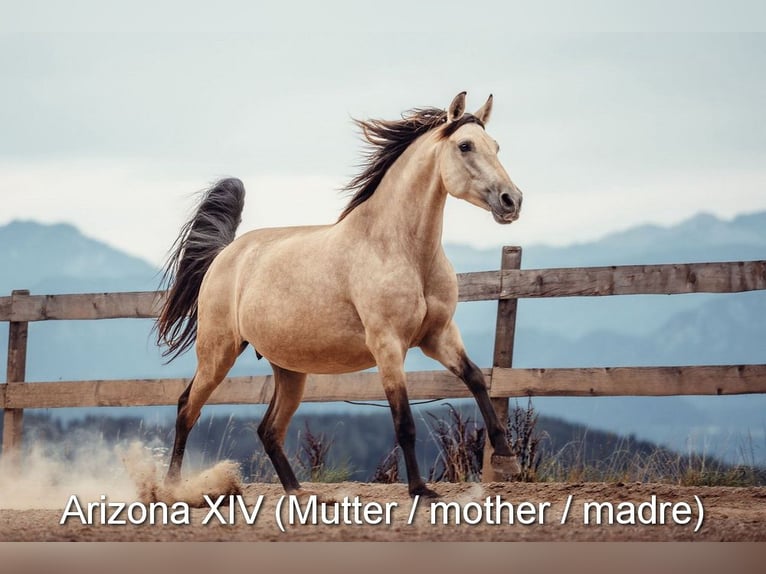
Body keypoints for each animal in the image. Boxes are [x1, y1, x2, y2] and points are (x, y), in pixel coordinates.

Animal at [156, 91, 523, 498]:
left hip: (289, 368)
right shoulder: (387, 345)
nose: (512, 201)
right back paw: (170, 488)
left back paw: (298, 491)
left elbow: (476, 379)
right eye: (465, 146)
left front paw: (508, 458)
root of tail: (226, 254)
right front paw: (419, 489)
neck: (399, 249)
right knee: (187, 408)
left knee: (268, 429)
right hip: (217, 351)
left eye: (496, 146)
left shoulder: (438, 336)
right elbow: (403, 420)